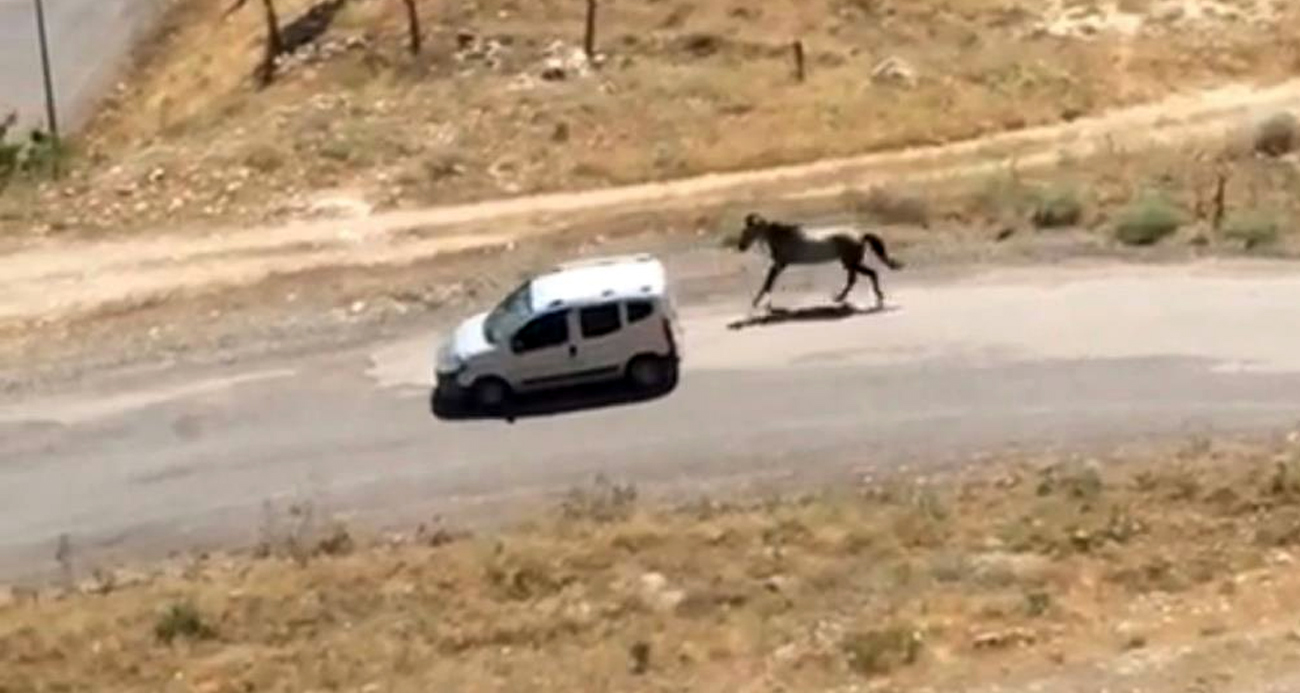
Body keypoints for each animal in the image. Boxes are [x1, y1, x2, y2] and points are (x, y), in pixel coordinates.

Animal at [738, 210, 909, 308]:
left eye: (747, 231)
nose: (741, 246)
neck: (782, 237)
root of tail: (860, 235)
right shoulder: (779, 265)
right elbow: (769, 282)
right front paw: (764, 303)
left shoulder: (779, 264)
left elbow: (768, 283)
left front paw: (758, 303)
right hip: (850, 263)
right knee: (855, 279)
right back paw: (841, 298)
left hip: (852, 262)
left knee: (868, 274)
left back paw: (874, 298)